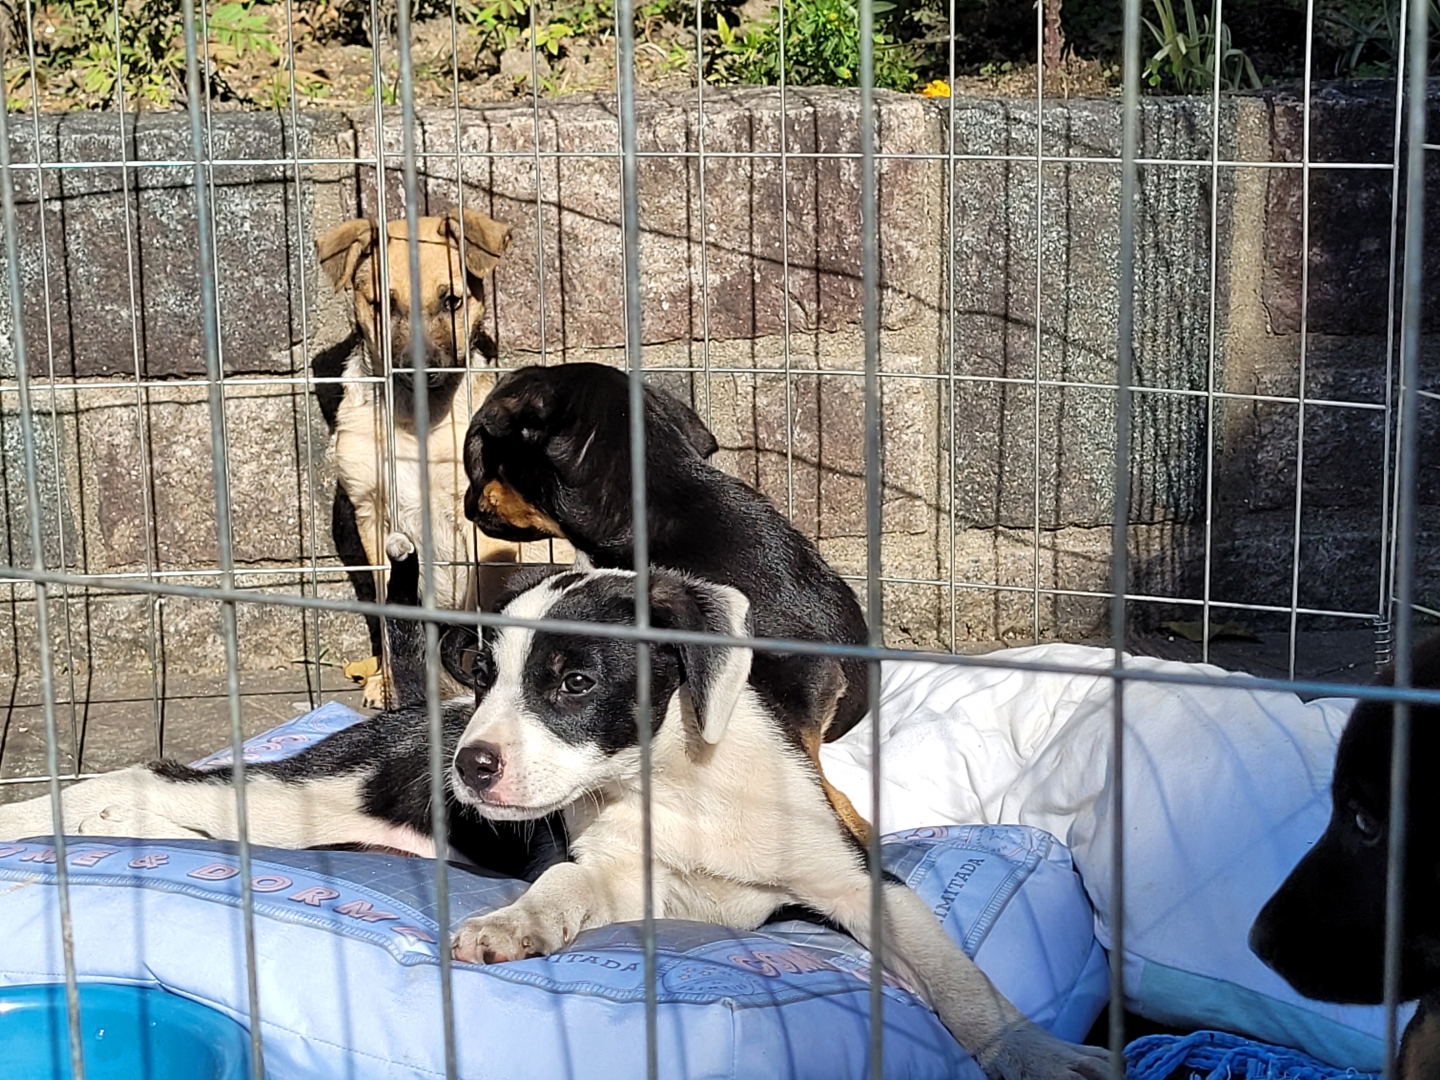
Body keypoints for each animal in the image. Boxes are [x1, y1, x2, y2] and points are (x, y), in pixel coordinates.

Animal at [314, 207, 568, 707]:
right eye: (382, 305)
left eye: (451, 301)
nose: (419, 368)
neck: (417, 424)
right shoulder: (373, 517)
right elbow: (391, 609)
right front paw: (390, 681)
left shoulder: (484, 528)